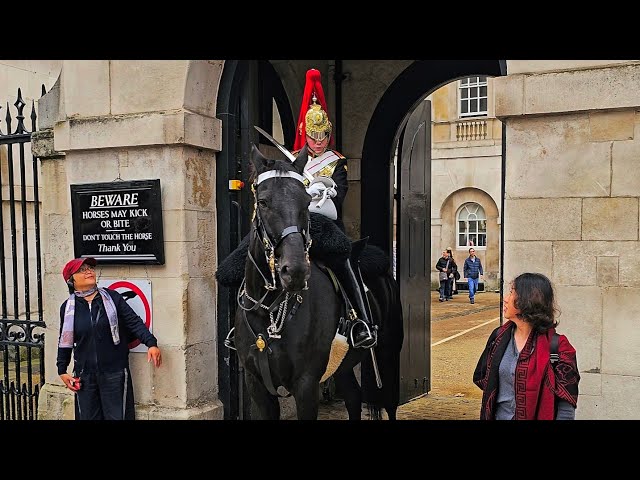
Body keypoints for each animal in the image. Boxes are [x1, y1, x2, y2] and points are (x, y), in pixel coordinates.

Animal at [235, 143, 402, 420]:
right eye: (263, 202)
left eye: (306, 201)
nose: (295, 271)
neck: (267, 311)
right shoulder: (257, 385)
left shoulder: (306, 385)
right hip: (342, 363)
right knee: (353, 397)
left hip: (388, 351)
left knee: (389, 402)